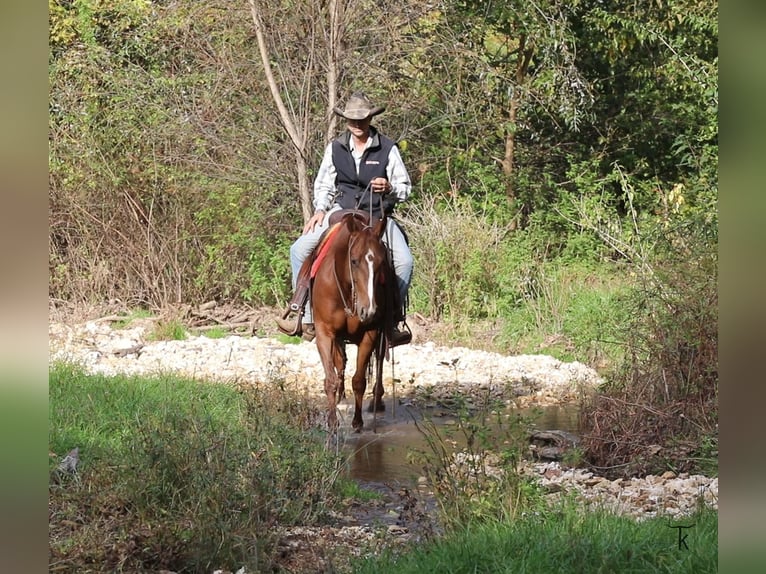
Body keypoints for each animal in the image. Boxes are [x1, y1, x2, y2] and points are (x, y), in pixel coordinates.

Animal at [309, 210, 395, 434]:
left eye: (382, 262)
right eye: (354, 261)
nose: (369, 310)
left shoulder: (370, 334)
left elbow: (358, 381)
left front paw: (357, 421)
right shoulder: (324, 333)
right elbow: (330, 378)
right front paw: (332, 422)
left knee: (379, 362)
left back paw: (377, 401)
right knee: (340, 362)